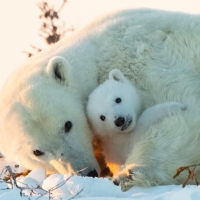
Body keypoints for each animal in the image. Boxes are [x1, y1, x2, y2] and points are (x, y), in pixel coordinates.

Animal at [0, 8, 200, 188]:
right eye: (37, 152)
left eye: (67, 125)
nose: (87, 173)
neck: (94, 59)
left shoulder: (144, 61)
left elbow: (185, 116)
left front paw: (128, 173)